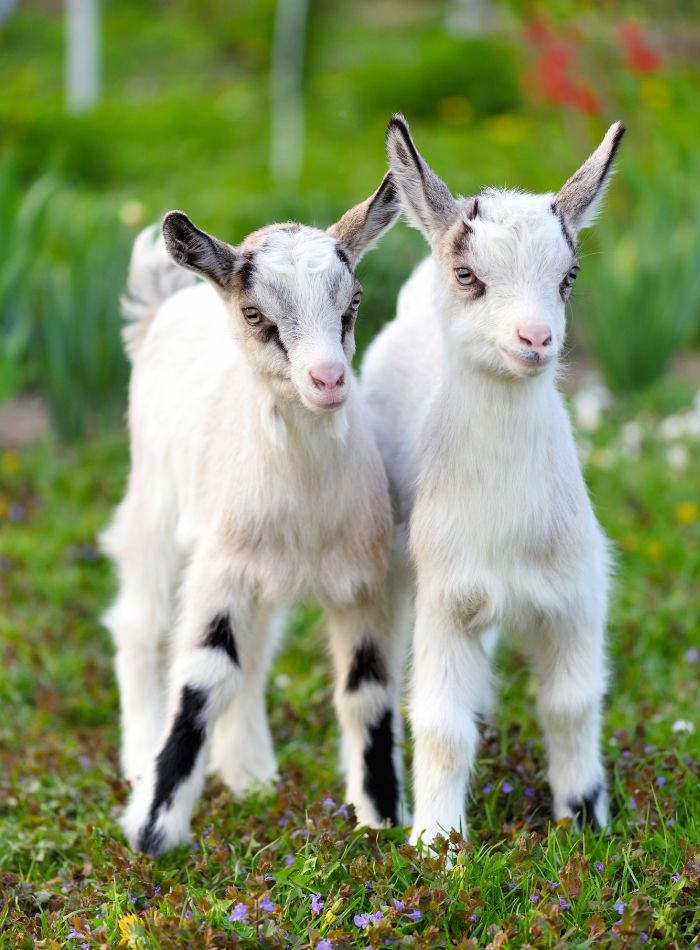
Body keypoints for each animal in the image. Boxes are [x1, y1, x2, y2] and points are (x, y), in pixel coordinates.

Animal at [101, 174, 404, 855]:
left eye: (353, 301)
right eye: (255, 314)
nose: (328, 379)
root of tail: (169, 303)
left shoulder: (366, 582)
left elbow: (366, 690)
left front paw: (381, 820)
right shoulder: (217, 571)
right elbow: (202, 679)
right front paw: (154, 831)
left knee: (258, 650)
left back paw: (251, 775)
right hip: (155, 507)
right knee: (141, 625)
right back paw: (139, 757)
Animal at [361, 116, 624, 846]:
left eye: (569, 275)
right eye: (467, 274)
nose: (534, 338)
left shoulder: (576, 593)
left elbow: (571, 704)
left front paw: (585, 824)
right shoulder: (446, 596)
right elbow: (440, 726)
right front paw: (436, 847)